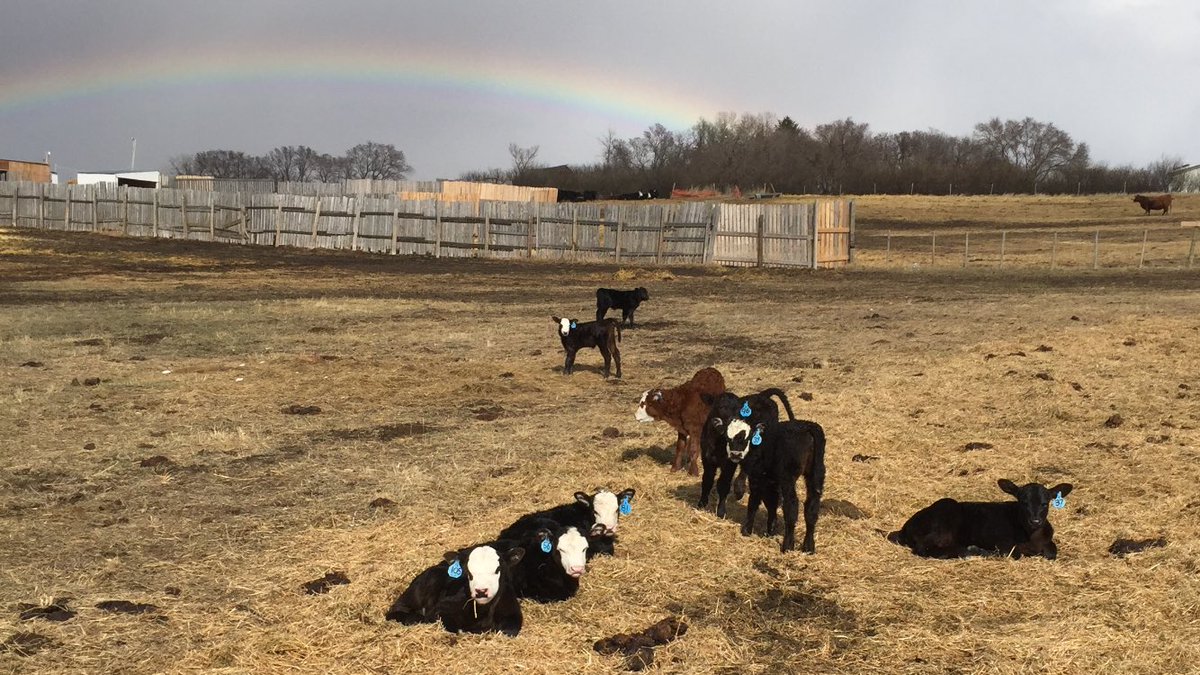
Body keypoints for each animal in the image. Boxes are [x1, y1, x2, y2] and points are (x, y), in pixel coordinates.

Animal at [698, 388, 797, 519]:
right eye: (721, 407)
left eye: (739, 410)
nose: (734, 422)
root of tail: (763, 396)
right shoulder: (707, 458)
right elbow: (707, 480)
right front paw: (701, 504)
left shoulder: (729, 463)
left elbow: (723, 484)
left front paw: (721, 512)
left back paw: (740, 490)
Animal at [726, 417, 826, 553]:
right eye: (727, 438)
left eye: (745, 437)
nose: (735, 454)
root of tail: (807, 426)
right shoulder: (771, 481)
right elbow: (772, 502)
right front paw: (770, 530)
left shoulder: (757, 477)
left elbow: (754, 502)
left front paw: (747, 530)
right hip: (816, 473)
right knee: (812, 507)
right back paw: (808, 547)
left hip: (788, 477)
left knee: (791, 505)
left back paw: (787, 546)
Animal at [887, 480, 1074, 560]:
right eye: (1023, 502)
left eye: (1044, 503)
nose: (1035, 521)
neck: (1030, 536)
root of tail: (905, 527)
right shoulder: (1002, 542)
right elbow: (1014, 553)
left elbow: (1052, 552)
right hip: (944, 515)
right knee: (923, 548)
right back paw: (971, 551)